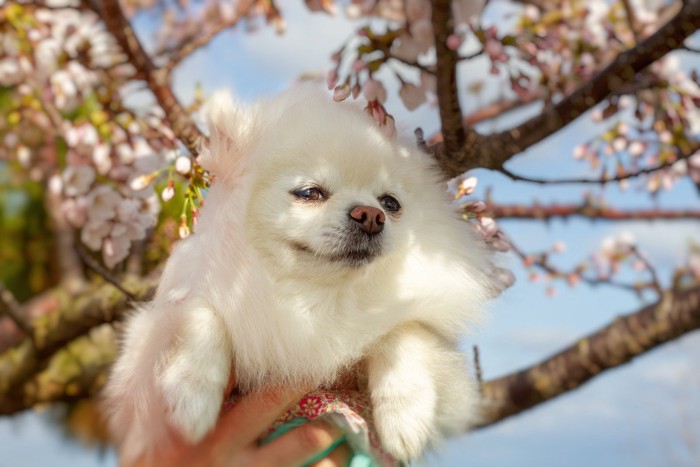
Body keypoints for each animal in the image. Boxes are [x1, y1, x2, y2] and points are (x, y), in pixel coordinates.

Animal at [104, 87, 498, 464]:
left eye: (391, 203)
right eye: (310, 193)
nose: (371, 216)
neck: (313, 297)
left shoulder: (446, 384)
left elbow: (404, 331)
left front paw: (406, 418)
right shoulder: (140, 362)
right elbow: (201, 310)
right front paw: (192, 394)